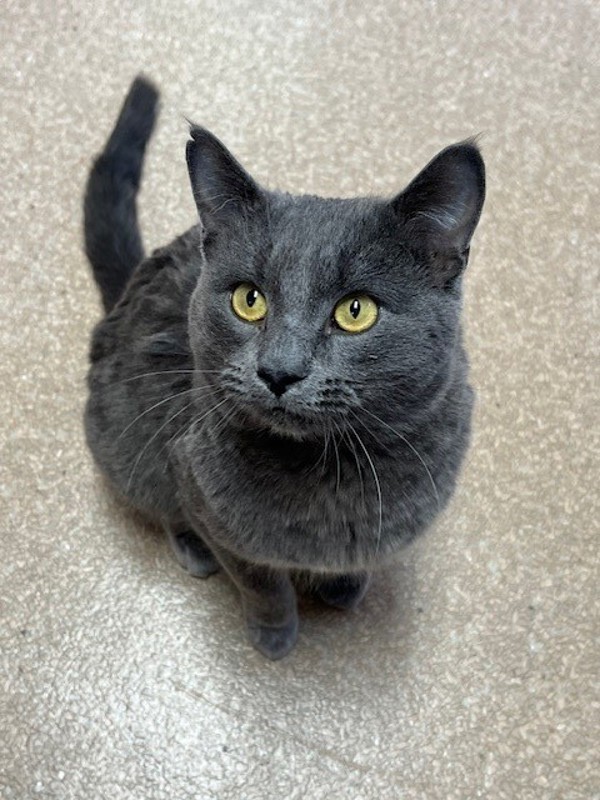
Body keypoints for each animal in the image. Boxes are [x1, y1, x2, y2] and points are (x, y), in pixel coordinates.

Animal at [84, 76, 486, 656]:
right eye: (248, 300)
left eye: (356, 310)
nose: (279, 371)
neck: (331, 471)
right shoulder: (208, 497)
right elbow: (261, 582)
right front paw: (274, 635)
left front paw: (344, 586)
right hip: (128, 443)